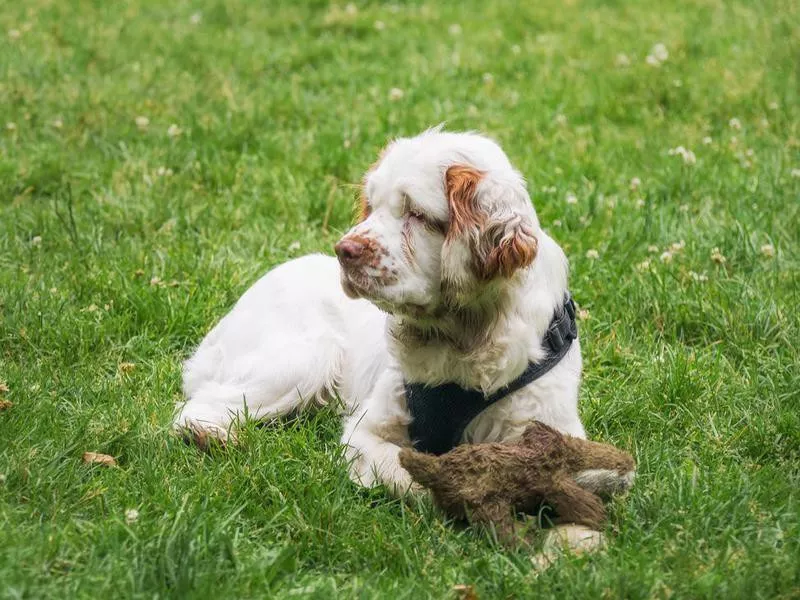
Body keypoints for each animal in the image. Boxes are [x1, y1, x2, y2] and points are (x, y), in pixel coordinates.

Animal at [175, 129, 632, 552]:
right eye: (372, 205)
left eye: (416, 213)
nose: (344, 250)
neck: (463, 337)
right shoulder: (366, 433)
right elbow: (411, 476)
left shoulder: (552, 426)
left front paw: (575, 536)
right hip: (307, 359)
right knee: (194, 408)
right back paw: (214, 438)